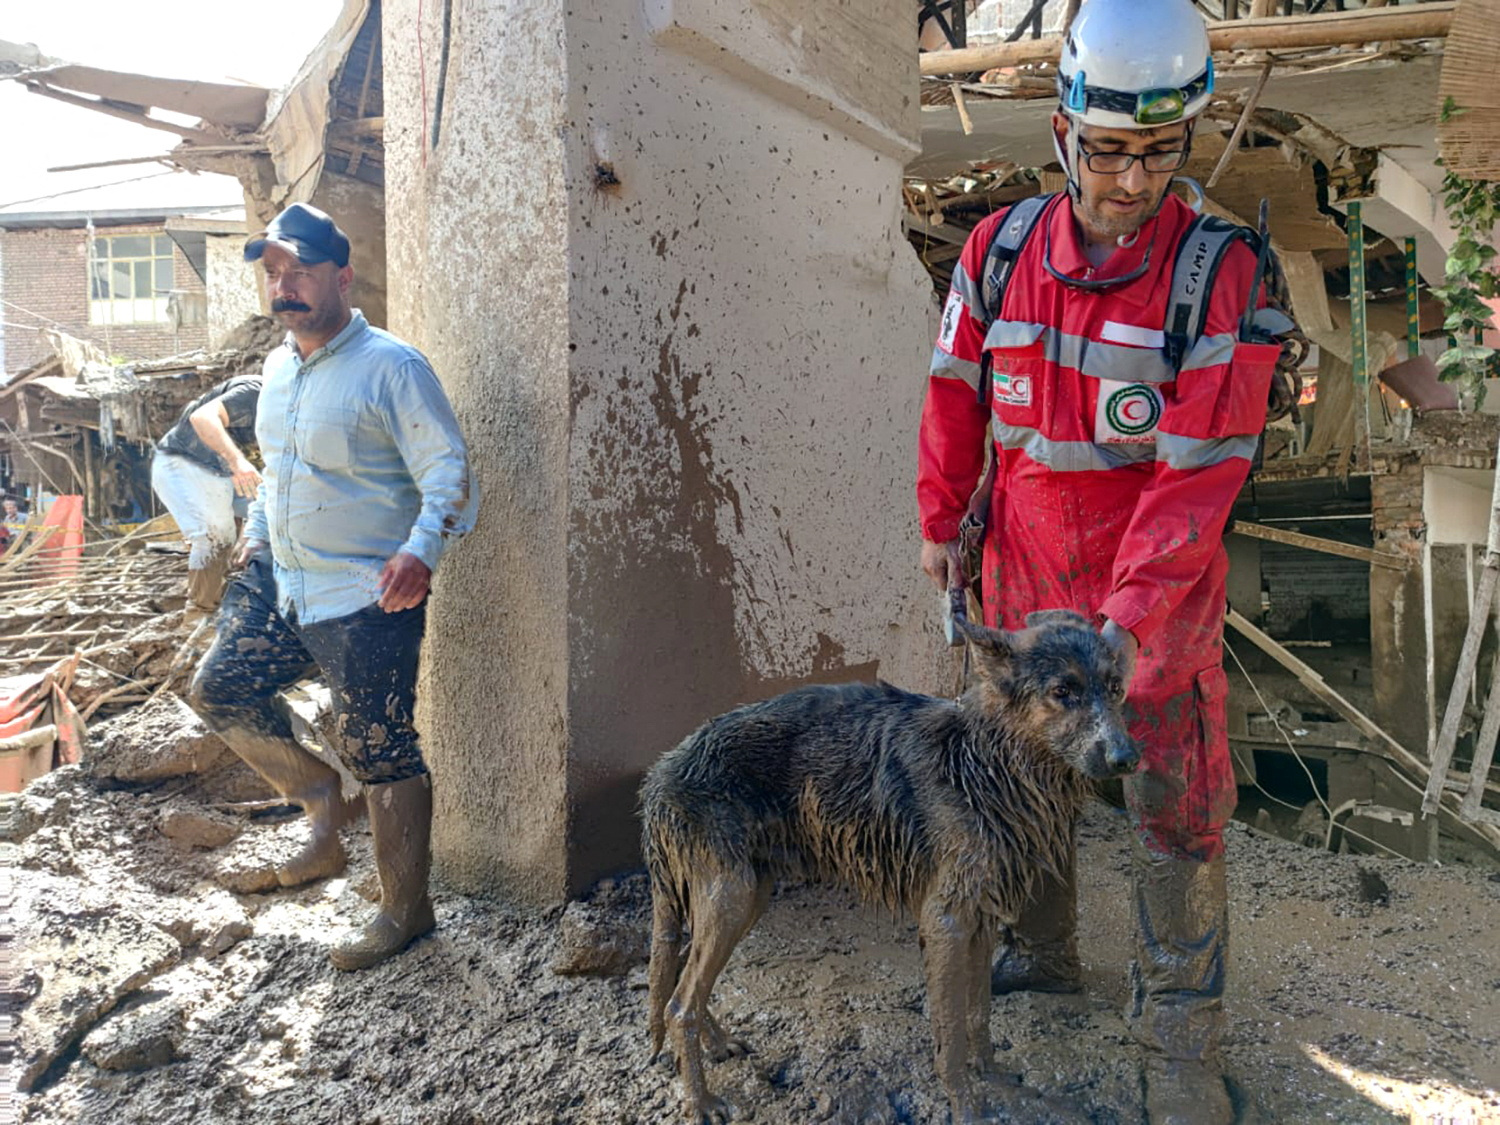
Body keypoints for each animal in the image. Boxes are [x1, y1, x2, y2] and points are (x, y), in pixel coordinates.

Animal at [639, 618, 1140, 1125]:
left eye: (1116, 688)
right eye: (1062, 690)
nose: (1127, 759)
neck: (983, 762)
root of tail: (660, 775)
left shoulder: (981, 920)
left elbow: (979, 1013)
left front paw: (991, 1072)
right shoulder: (944, 922)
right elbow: (950, 1035)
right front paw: (964, 1104)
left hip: (745, 898)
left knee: (684, 979)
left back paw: (718, 1044)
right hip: (731, 898)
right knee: (680, 1003)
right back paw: (700, 1102)